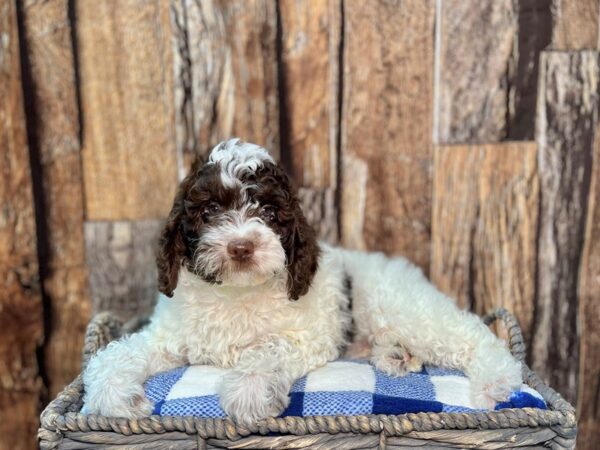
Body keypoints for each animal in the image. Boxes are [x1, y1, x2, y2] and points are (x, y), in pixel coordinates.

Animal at [82, 139, 524, 428]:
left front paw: (249, 390)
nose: (241, 247)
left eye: (269, 213)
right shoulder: (169, 335)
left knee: (474, 335)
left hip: (404, 308)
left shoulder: (308, 336)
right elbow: (115, 354)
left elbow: (266, 349)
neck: (236, 292)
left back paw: (497, 381)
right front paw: (113, 395)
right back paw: (396, 356)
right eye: (208, 211)